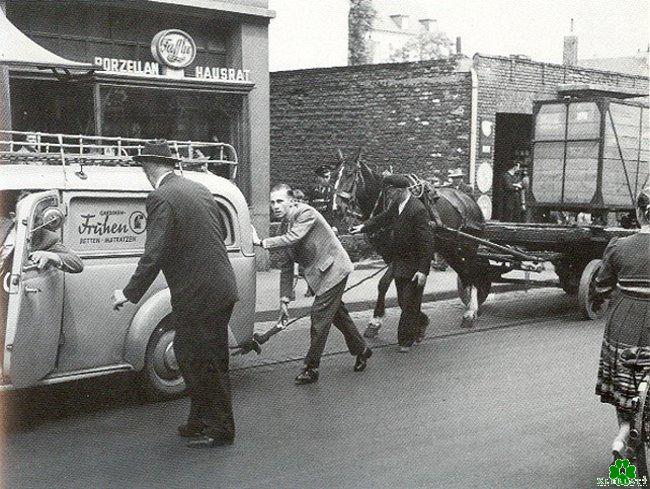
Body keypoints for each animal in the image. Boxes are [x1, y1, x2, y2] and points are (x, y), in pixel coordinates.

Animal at [332, 151, 488, 330]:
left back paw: (471, 310)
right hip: (449, 248)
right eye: (334, 175)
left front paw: (377, 320)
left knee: (473, 273)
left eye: (349, 173)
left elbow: (384, 283)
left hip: (468, 247)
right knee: (464, 273)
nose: (336, 208)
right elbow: (396, 286)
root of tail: (469, 200)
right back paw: (470, 308)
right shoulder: (388, 255)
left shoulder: (398, 253)